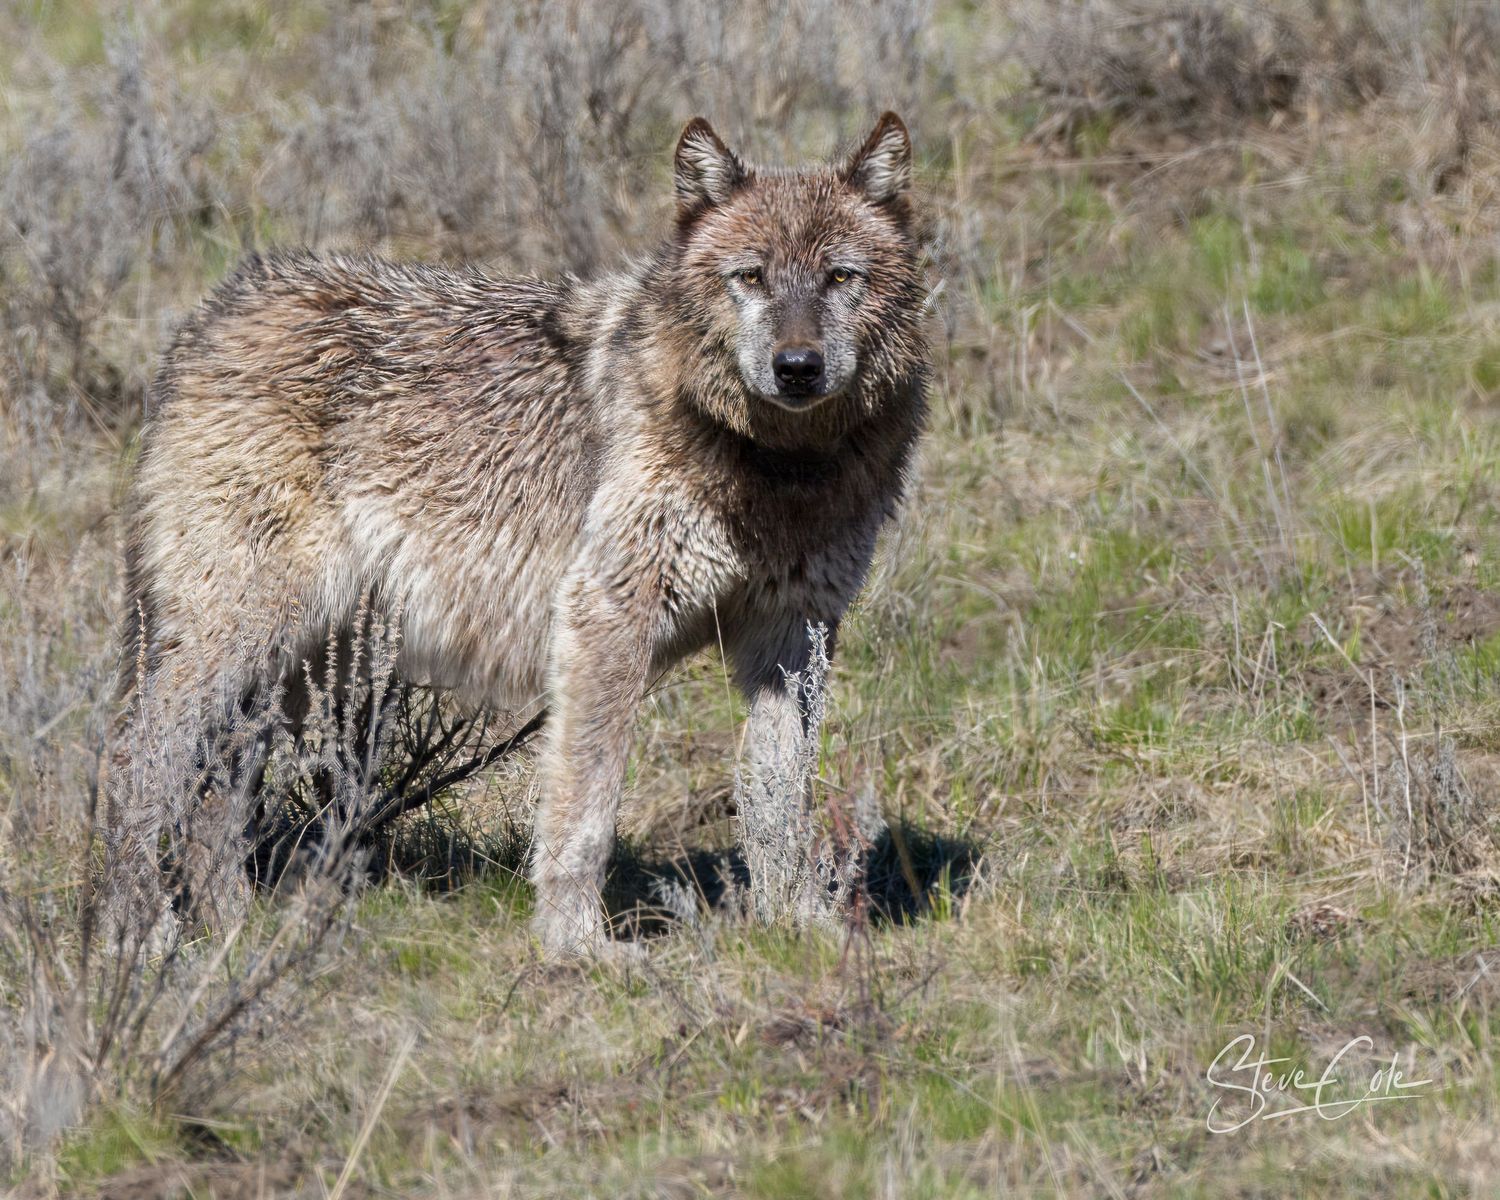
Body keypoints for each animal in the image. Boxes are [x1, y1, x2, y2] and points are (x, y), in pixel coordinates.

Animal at [112, 112, 930, 955]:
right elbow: (586, 807)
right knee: (137, 762)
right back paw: (144, 936)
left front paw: (795, 927)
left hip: (299, 667)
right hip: (241, 643)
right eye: (752, 277)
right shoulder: (606, 619)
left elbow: (778, 801)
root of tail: (215, 311)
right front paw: (579, 947)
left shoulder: (794, 637)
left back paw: (237, 936)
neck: (777, 467)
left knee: (217, 793)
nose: (797, 366)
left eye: (841, 278)